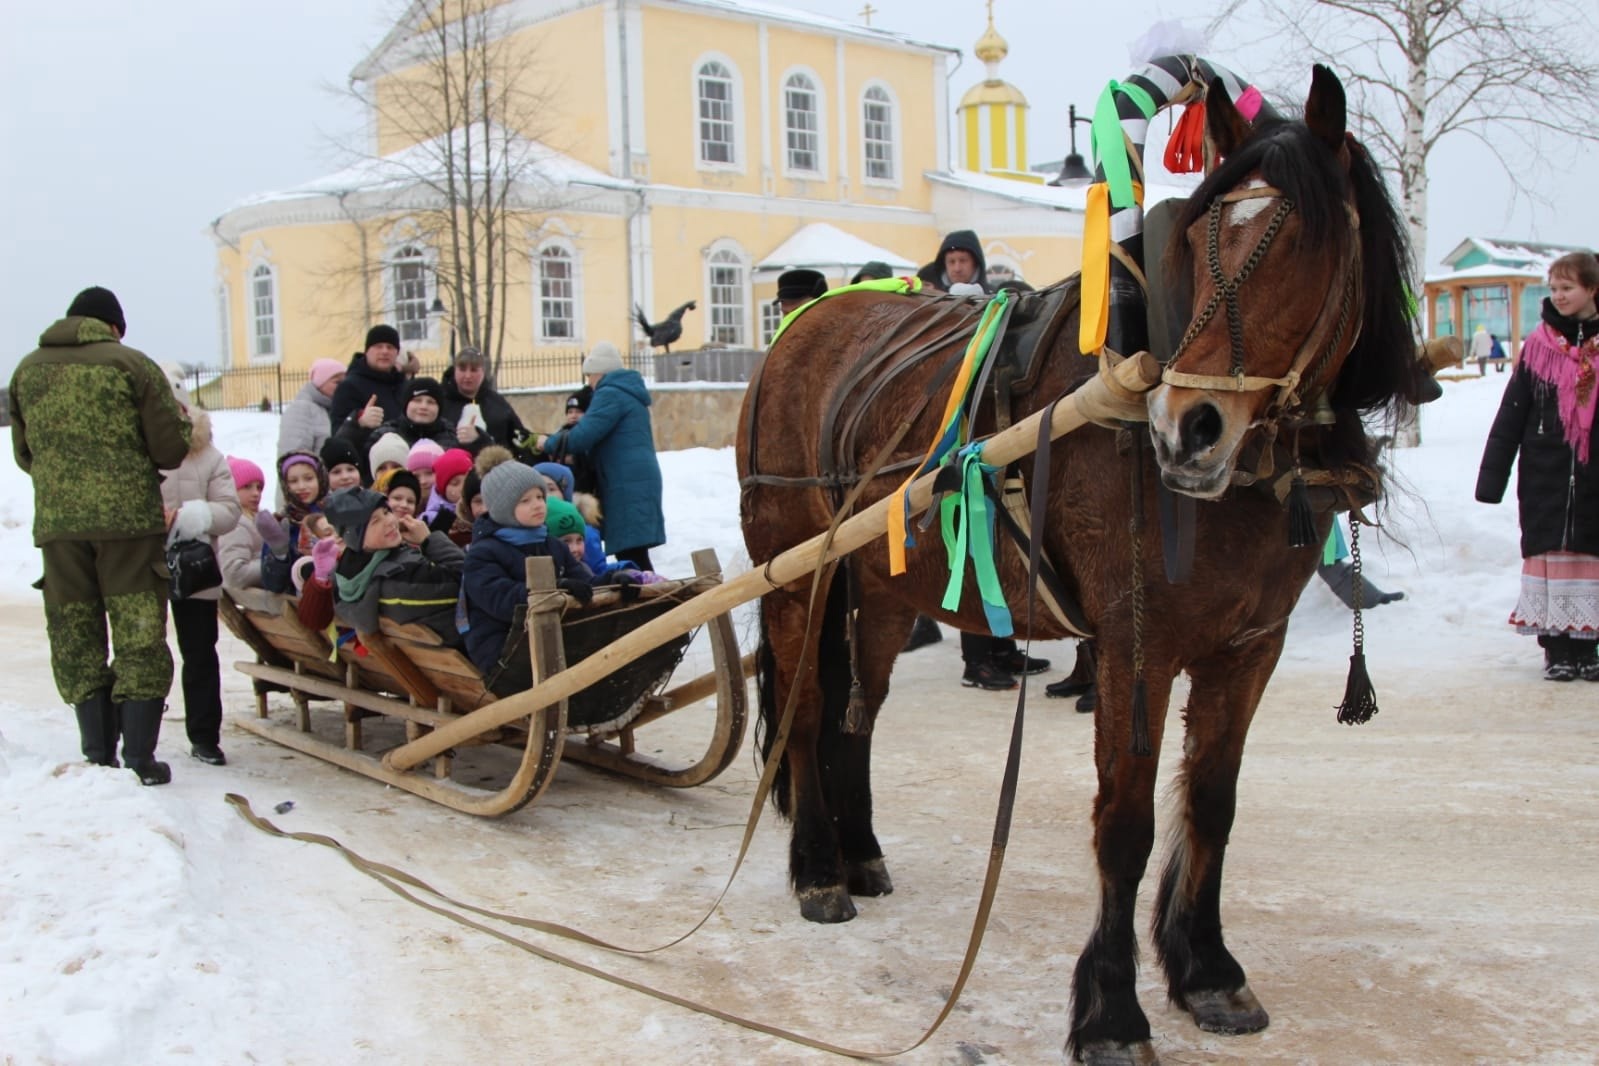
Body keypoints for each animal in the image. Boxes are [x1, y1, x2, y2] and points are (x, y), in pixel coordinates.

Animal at [735, 68, 1413, 1066]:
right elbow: (1125, 826)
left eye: (1307, 241)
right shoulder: (1136, 649)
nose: (1191, 427)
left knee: (859, 711)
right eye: (1200, 239)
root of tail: (794, 331)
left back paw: (857, 853)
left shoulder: (1248, 649)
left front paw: (1207, 971)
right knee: (809, 707)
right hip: (794, 576)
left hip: (886, 587)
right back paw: (819, 868)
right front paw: (1111, 1012)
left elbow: (1211, 803)